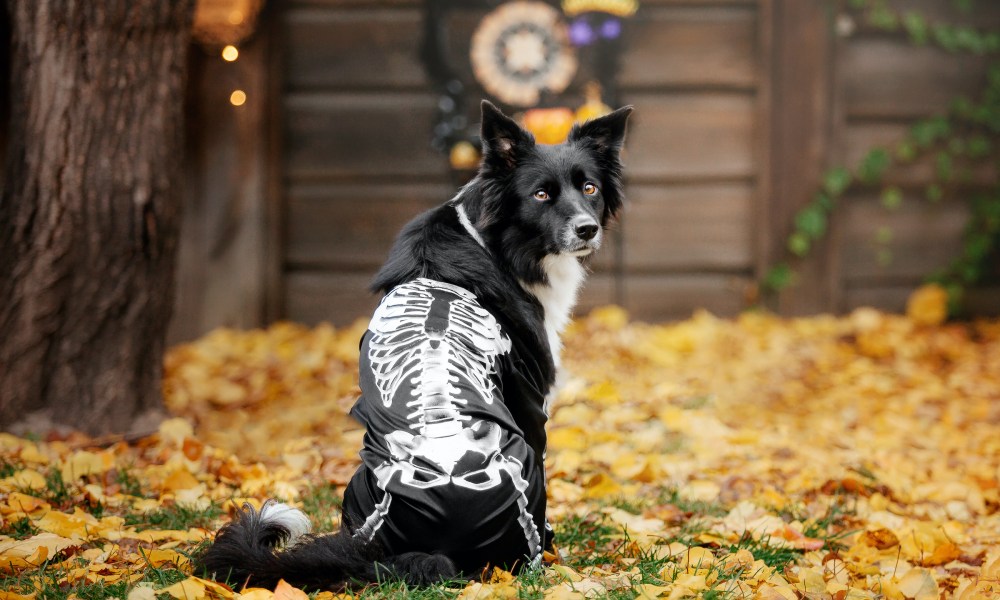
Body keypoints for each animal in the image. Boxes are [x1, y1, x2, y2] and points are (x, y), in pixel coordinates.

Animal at [198, 99, 628, 592]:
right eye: (541, 195)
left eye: (590, 188)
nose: (587, 229)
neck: (494, 242)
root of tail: (435, 552)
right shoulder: (531, 402)